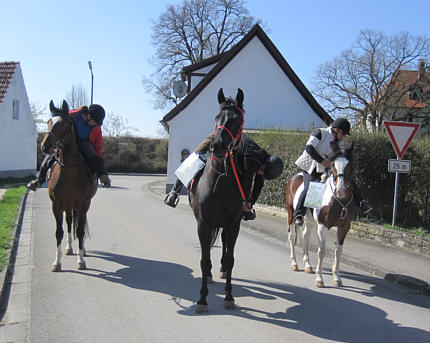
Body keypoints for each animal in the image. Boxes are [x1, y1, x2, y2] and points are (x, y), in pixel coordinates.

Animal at [40, 101, 97, 272]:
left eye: (63, 123)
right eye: (48, 122)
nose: (45, 146)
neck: (70, 171)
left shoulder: (83, 204)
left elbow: (80, 231)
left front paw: (81, 260)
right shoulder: (56, 205)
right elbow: (59, 232)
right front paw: (57, 262)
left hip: (78, 206)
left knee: (78, 225)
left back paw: (81, 250)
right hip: (68, 206)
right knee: (70, 222)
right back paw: (69, 247)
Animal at [286, 144, 356, 288]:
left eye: (350, 165)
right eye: (333, 165)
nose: (341, 191)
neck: (339, 201)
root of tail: (295, 177)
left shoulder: (344, 227)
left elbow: (338, 252)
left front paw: (337, 278)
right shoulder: (323, 226)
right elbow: (321, 251)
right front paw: (319, 279)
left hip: (310, 221)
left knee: (306, 236)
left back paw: (307, 265)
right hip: (291, 214)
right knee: (292, 236)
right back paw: (294, 263)